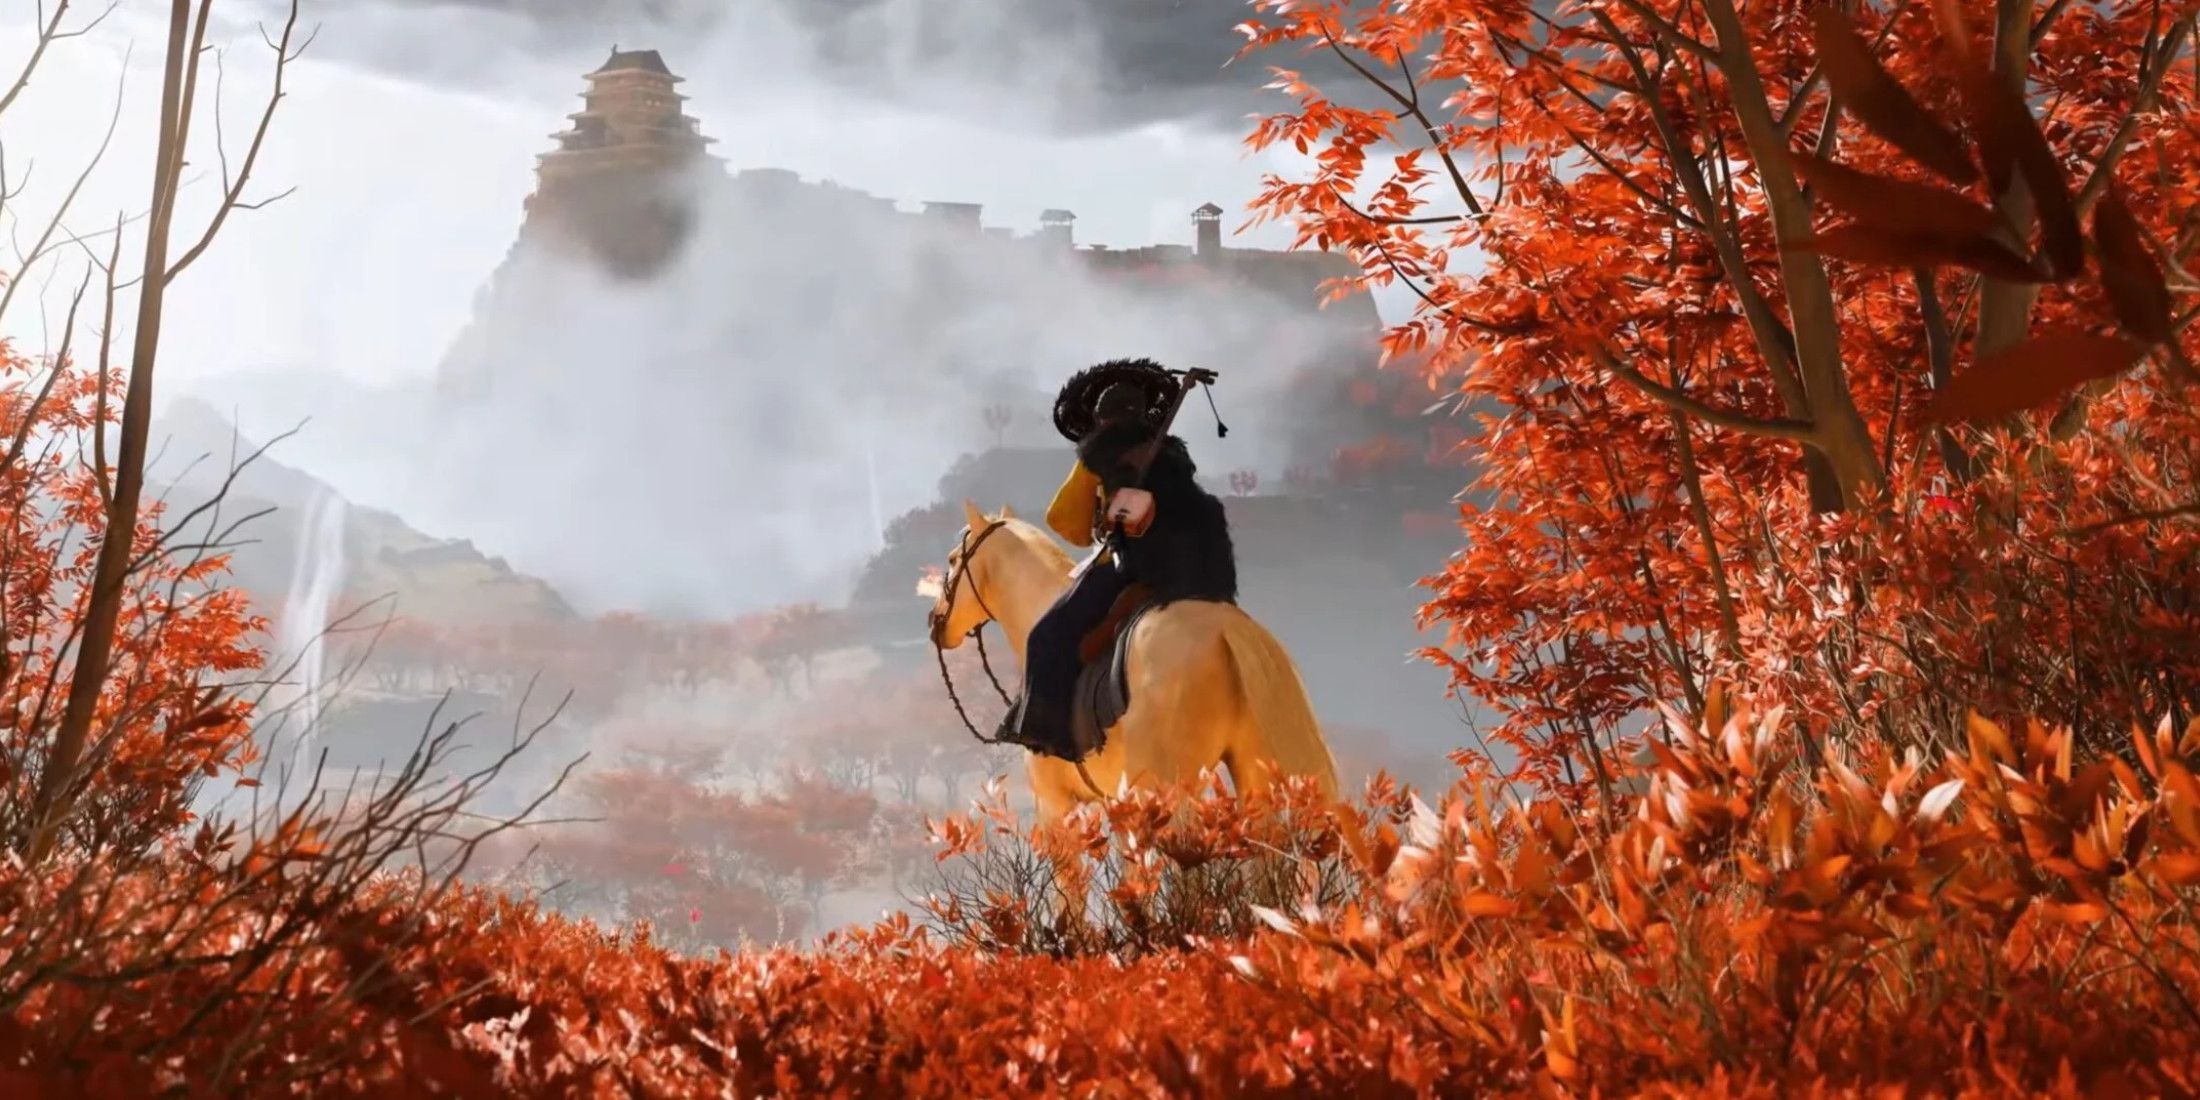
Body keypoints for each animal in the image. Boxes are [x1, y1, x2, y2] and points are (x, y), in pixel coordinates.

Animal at [919, 499, 1328, 827]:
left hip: (1169, 792)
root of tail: (1225, 630)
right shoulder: (1116, 807)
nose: (934, 621)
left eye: (953, 560)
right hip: (1253, 779)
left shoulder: (1054, 806)